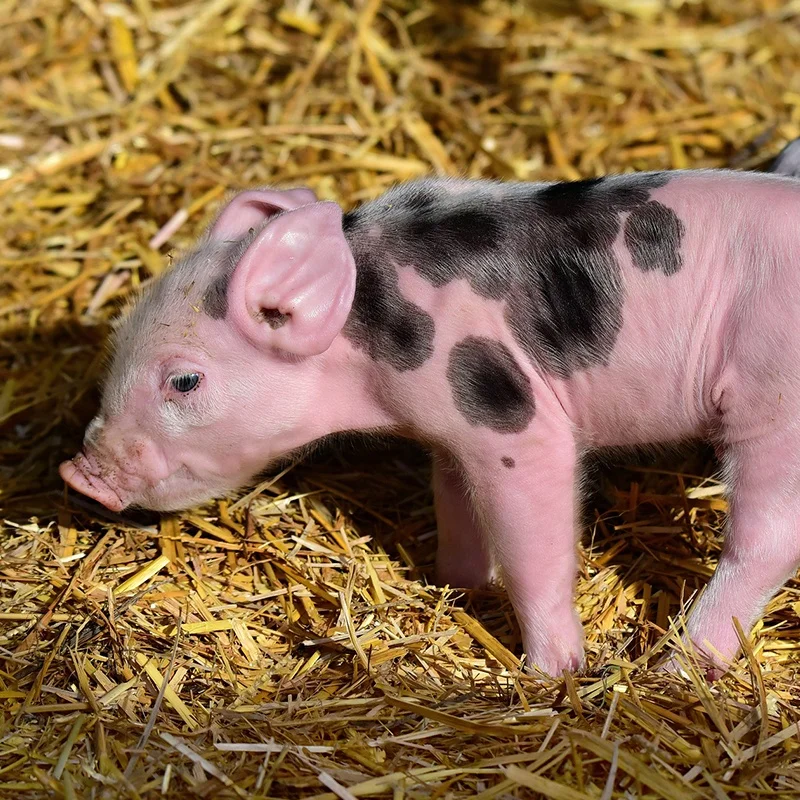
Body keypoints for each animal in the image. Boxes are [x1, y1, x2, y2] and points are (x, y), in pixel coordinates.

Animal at [61, 141, 800, 677]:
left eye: (184, 382)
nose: (79, 474)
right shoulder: (448, 429)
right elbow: (455, 500)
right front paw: (458, 587)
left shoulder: (509, 414)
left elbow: (535, 537)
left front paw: (549, 674)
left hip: (774, 405)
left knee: (766, 540)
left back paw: (677, 670)